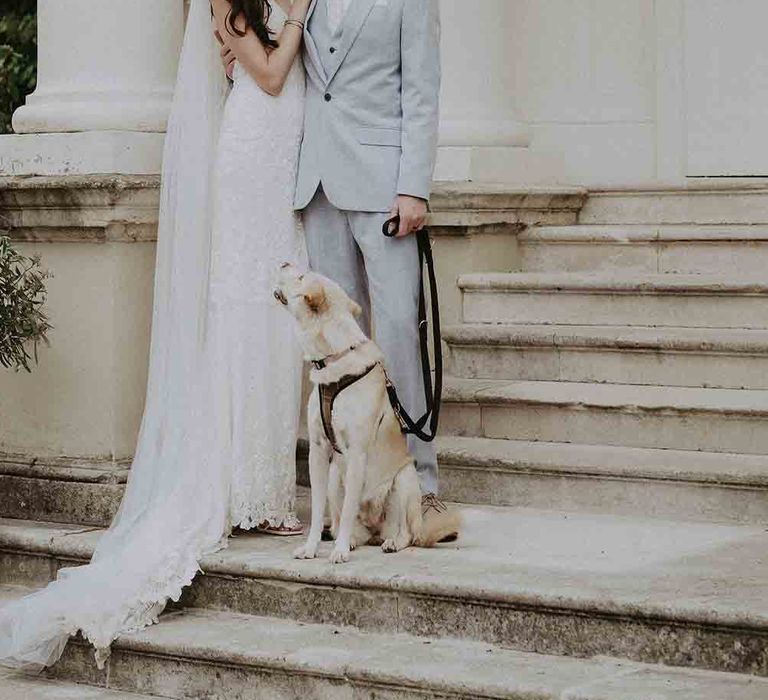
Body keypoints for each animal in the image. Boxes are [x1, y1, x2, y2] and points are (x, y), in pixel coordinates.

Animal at [272, 262, 460, 564]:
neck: (335, 357)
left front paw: (337, 551)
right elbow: (318, 509)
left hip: (405, 480)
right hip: (335, 476)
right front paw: (312, 547)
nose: (284, 263)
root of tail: (375, 530)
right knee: (346, 525)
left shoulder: (357, 453)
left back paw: (388, 542)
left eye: (301, 277)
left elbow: (350, 508)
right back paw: (350, 540)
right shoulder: (318, 451)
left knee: (406, 534)